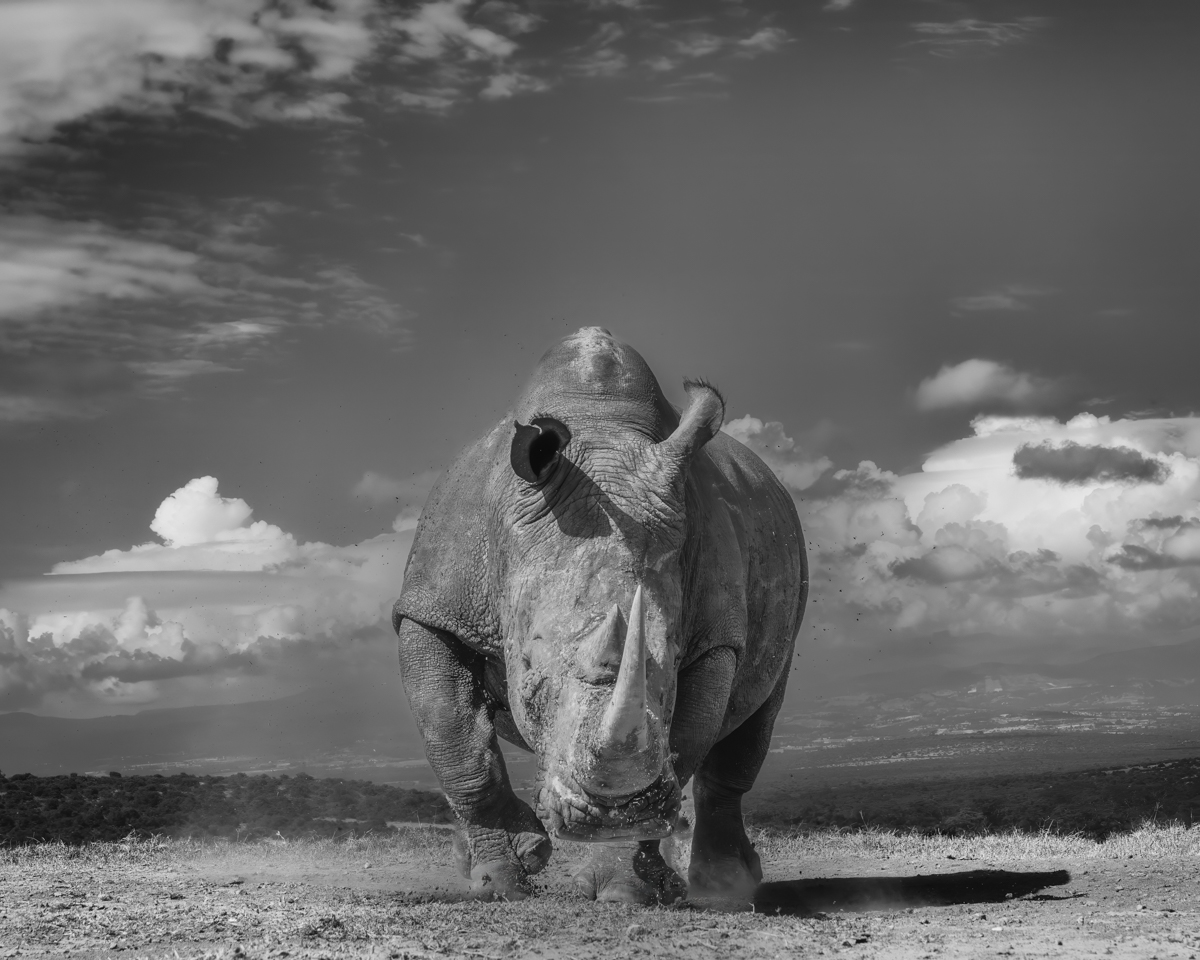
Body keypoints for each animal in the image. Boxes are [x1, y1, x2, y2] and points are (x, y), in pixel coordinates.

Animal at [393, 327, 807, 904]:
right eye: (530, 685)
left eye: (669, 682)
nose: (608, 818)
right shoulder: (433, 607)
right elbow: (455, 741)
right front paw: (502, 879)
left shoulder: (715, 638)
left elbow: (686, 740)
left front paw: (621, 887)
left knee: (757, 715)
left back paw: (722, 888)